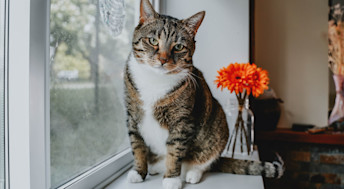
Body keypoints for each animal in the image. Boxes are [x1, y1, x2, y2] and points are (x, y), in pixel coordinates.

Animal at [123, 0, 284, 188]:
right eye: (153, 41)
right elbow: (137, 146)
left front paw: (171, 179)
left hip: (218, 131)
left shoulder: (182, 122)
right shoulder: (132, 116)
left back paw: (192, 173)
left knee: (205, 162)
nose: (163, 59)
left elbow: (174, 152)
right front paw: (139, 172)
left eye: (178, 47)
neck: (155, 81)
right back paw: (155, 166)